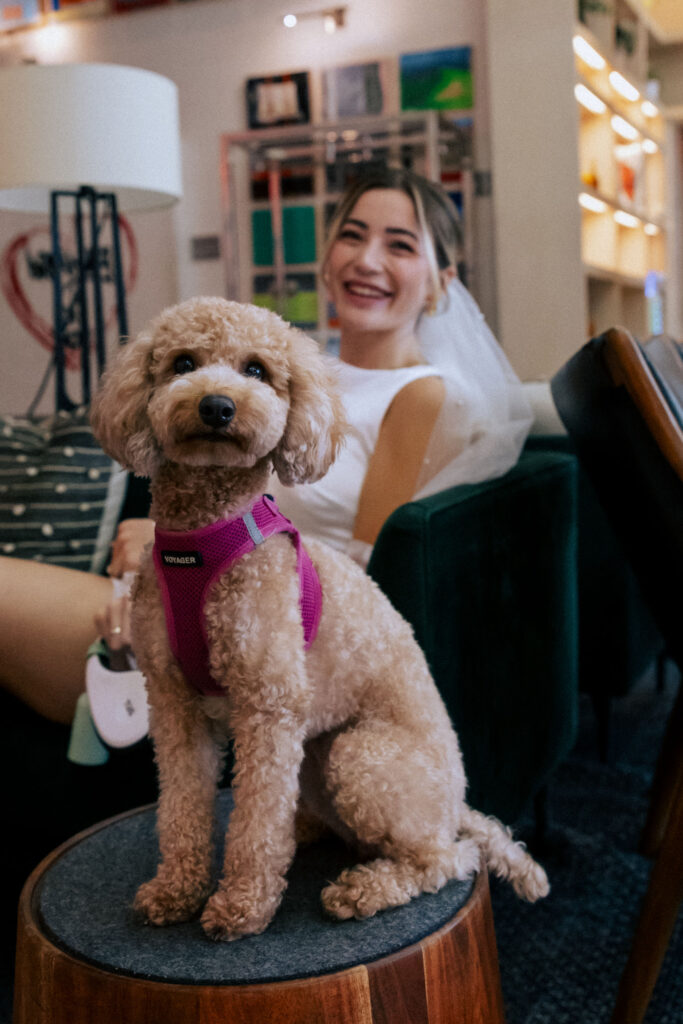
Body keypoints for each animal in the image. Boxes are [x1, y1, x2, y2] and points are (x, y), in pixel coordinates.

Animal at [92, 296, 548, 942]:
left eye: (257, 370)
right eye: (182, 363)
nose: (217, 405)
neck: (205, 541)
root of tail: (455, 802)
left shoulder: (268, 703)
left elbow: (256, 823)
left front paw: (242, 906)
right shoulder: (175, 704)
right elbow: (181, 807)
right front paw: (175, 890)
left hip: (359, 757)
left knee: (448, 858)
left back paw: (362, 889)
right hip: (314, 758)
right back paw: (304, 831)